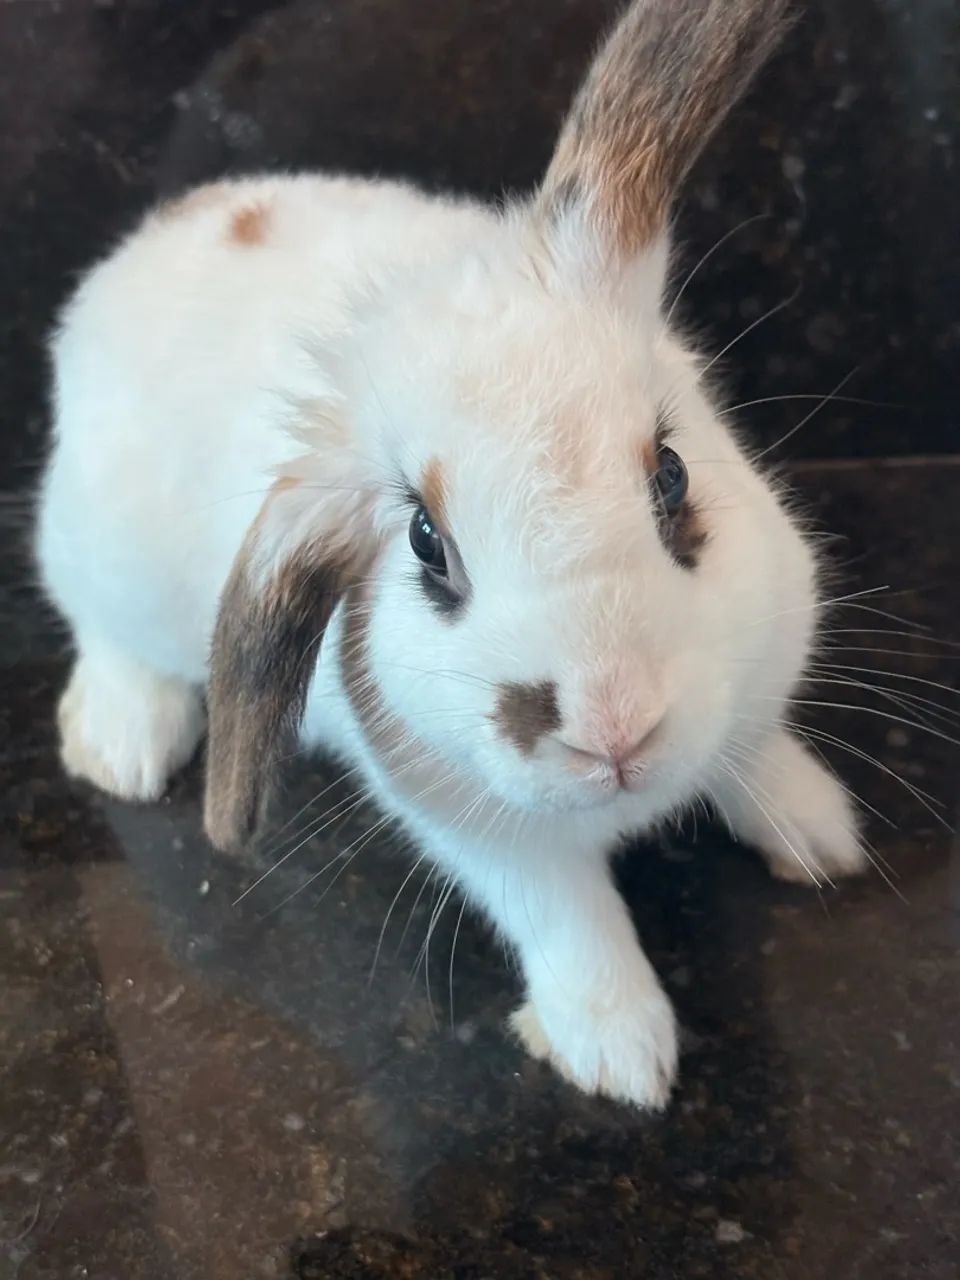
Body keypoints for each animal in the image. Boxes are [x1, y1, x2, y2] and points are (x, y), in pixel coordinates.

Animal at [35, 0, 866, 1110]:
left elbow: (755, 746)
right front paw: (619, 1053)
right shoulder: (478, 826)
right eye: (427, 543)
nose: (614, 729)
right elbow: (568, 916)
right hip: (100, 551)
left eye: (672, 474)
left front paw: (817, 830)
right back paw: (120, 741)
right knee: (97, 623)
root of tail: (144, 246)